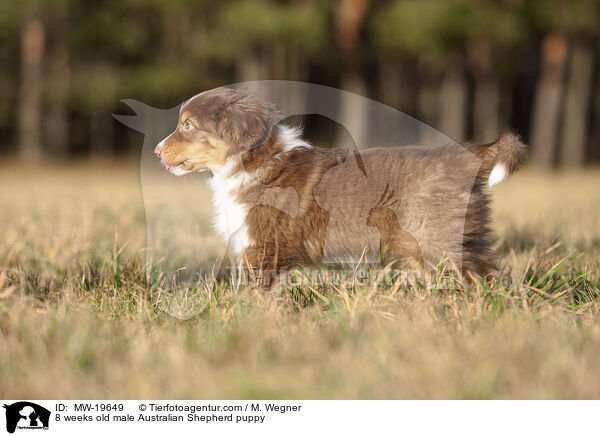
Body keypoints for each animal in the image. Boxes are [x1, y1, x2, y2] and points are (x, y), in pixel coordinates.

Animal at [155, 88, 524, 284]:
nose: (157, 151)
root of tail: (467, 156)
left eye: (187, 125)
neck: (253, 161)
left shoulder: (262, 247)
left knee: (472, 275)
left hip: (434, 236)